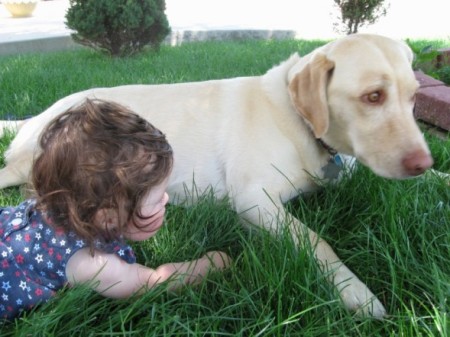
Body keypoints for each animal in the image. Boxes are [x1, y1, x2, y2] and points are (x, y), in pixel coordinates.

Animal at [0, 33, 432, 318]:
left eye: (414, 98)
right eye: (372, 97)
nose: (421, 163)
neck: (301, 122)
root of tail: (41, 114)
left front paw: (436, 178)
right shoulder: (254, 200)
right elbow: (317, 240)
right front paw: (355, 291)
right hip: (28, 161)